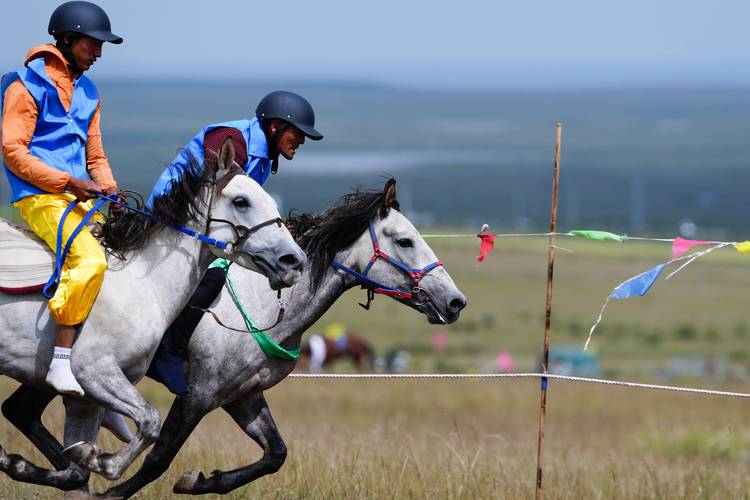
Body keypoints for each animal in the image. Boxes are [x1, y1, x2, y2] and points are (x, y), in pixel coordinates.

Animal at [0, 138, 306, 490]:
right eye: (241, 201)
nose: (294, 261)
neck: (144, 285)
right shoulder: (95, 373)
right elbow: (150, 423)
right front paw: (102, 461)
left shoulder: (87, 399)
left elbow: (83, 458)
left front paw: (84, 457)